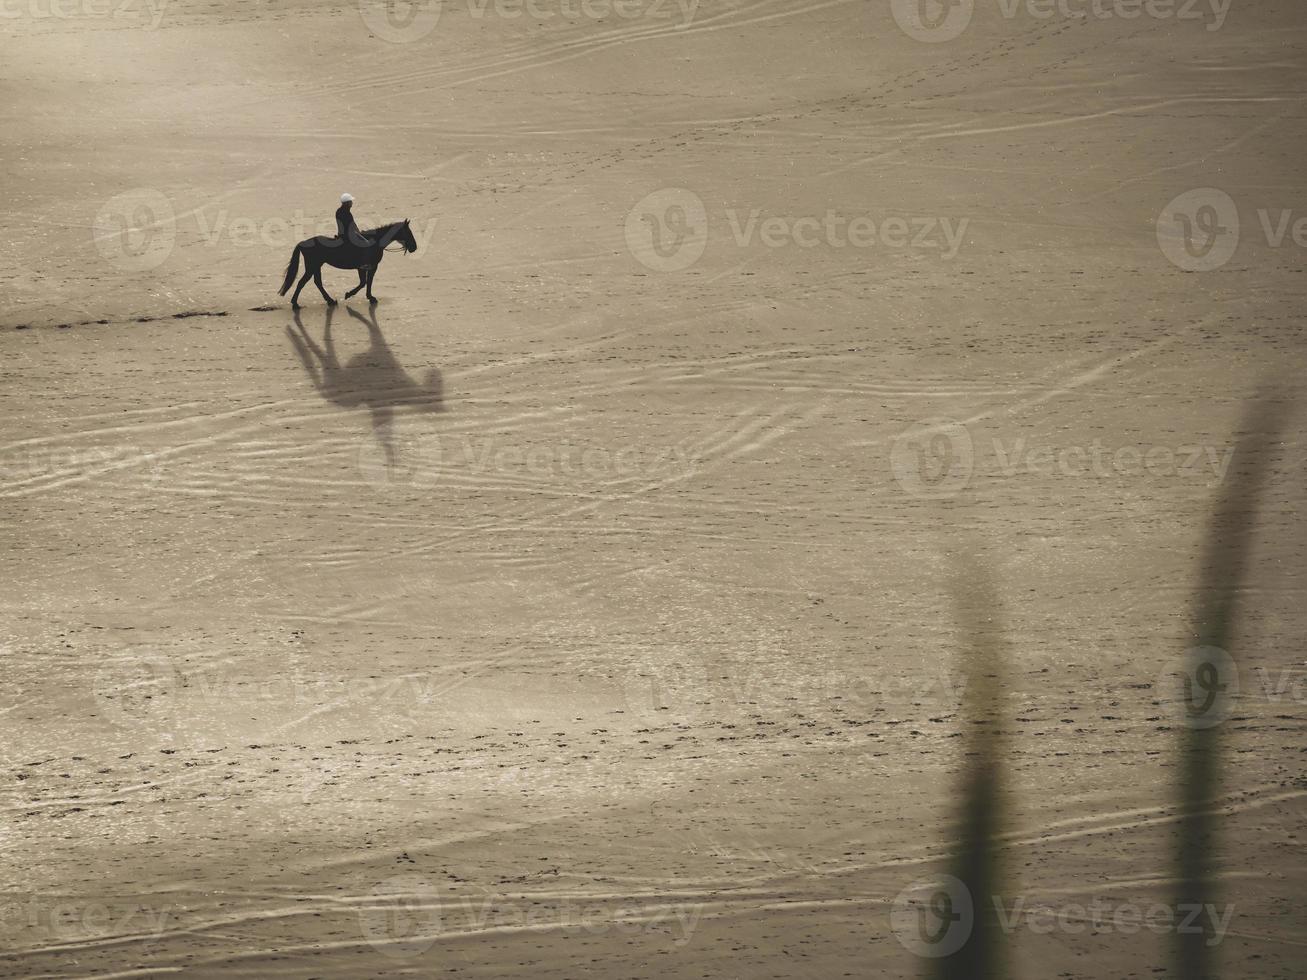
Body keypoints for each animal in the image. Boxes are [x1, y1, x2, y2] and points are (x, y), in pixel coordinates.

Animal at [279, 219, 418, 308]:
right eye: (409, 232)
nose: (414, 247)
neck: (374, 242)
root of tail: (303, 242)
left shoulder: (369, 267)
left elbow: (367, 282)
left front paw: (369, 297)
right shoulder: (366, 267)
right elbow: (364, 282)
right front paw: (350, 294)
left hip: (317, 266)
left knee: (317, 282)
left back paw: (330, 301)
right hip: (312, 266)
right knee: (302, 282)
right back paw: (295, 304)